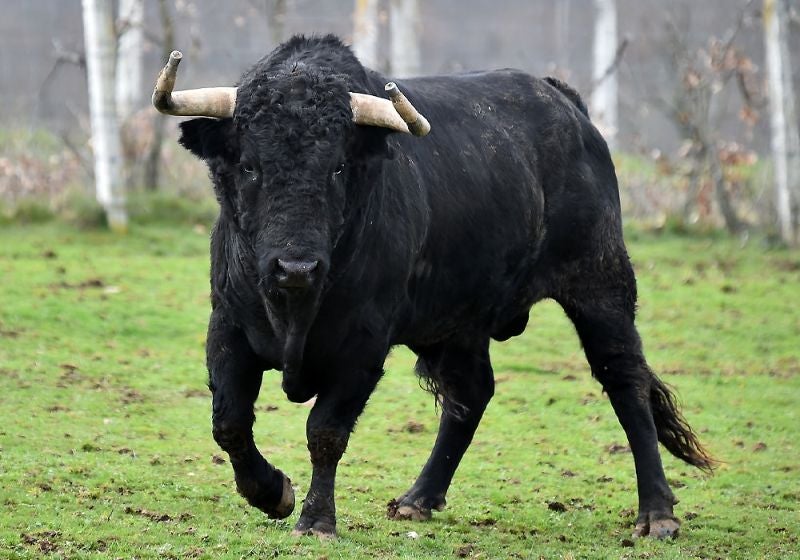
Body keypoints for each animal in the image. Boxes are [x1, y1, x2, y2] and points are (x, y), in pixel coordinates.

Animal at [152, 34, 713, 540]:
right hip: (458, 324)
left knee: (626, 382)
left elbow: (326, 432)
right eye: (249, 165)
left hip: (602, 285)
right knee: (472, 394)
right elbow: (230, 422)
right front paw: (272, 493)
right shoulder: (228, 327)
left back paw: (657, 514)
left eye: (337, 166)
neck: (296, 309)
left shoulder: (362, 347)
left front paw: (316, 521)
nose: (295, 267)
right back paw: (418, 498)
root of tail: (566, 105)